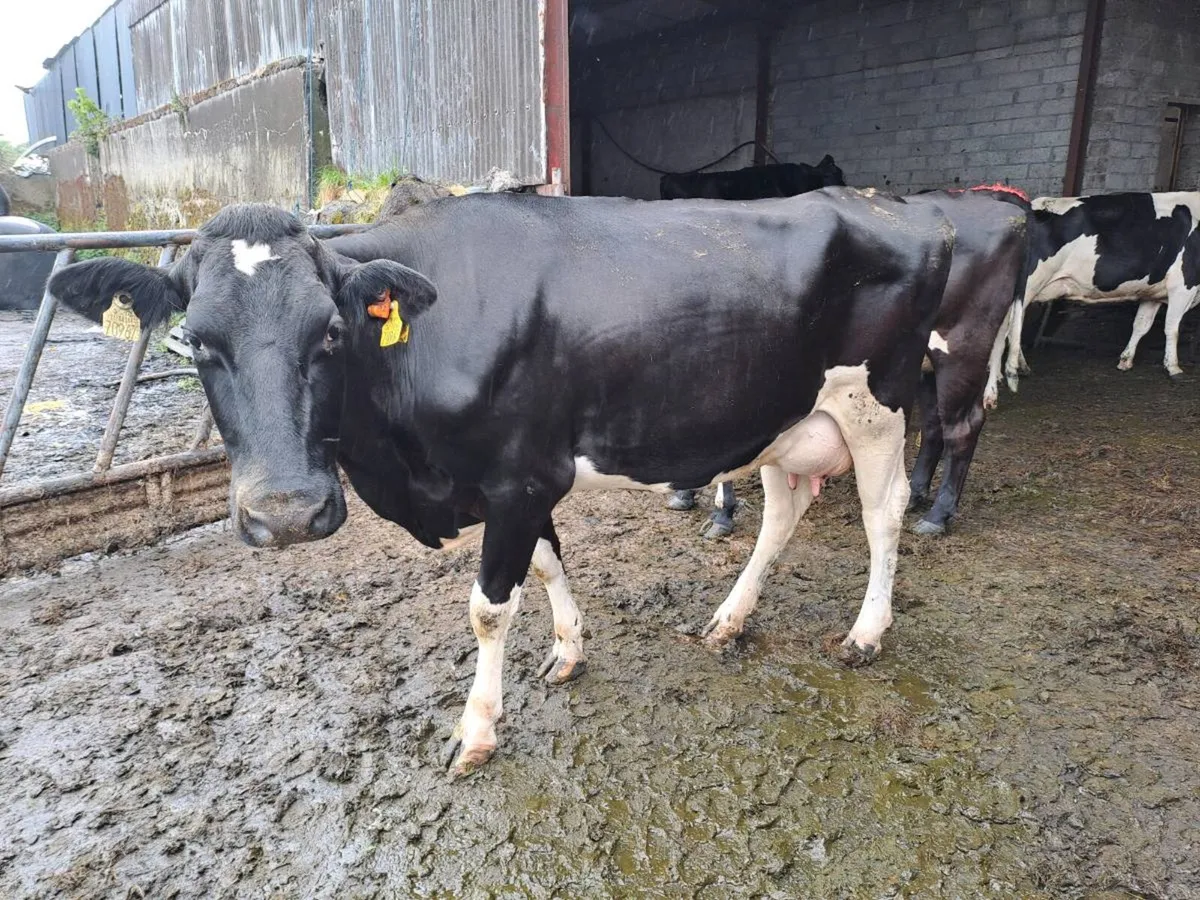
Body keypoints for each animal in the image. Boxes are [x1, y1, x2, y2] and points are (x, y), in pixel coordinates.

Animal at [49, 190, 954, 775]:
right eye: (196, 341)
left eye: (332, 331)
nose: (288, 512)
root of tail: (901, 206)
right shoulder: (514, 485)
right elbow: (548, 564)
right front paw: (568, 651)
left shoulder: (521, 476)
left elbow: (490, 607)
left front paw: (476, 732)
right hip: (780, 417)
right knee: (783, 513)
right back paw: (730, 619)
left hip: (877, 402)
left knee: (884, 515)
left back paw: (866, 631)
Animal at [996, 192, 1200, 389]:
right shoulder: (1184, 285)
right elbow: (1172, 328)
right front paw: (1174, 368)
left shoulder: (1152, 293)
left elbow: (1141, 325)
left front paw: (1125, 360)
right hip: (1029, 284)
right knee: (1006, 327)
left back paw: (1019, 368)